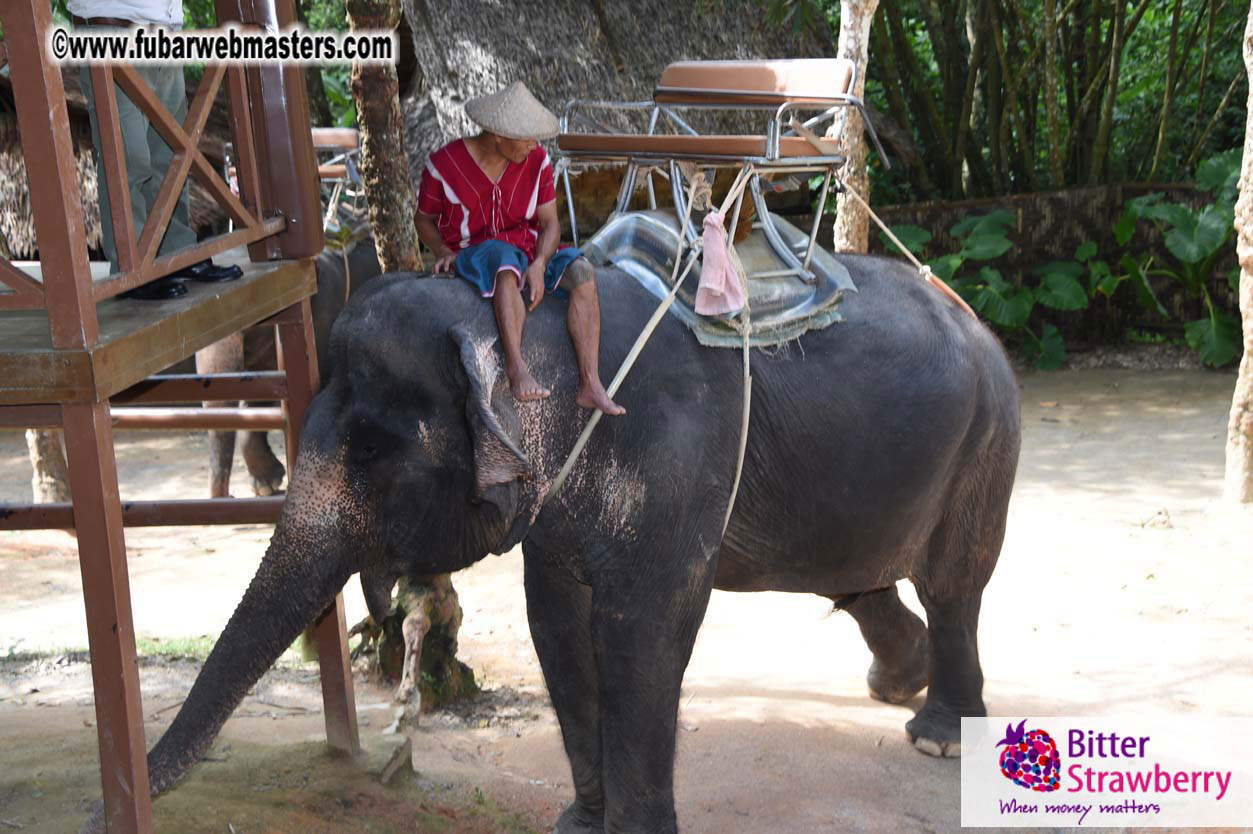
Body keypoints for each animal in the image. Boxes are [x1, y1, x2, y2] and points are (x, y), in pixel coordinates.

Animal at [93, 254, 1020, 834]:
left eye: (373, 454)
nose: (110, 811)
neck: (523, 322)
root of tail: (972, 318)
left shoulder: (667, 459)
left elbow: (640, 631)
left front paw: (633, 830)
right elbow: (559, 628)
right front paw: (579, 824)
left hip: (987, 435)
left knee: (953, 584)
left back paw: (941, 733)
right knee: (863, 581)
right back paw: (893, 684)